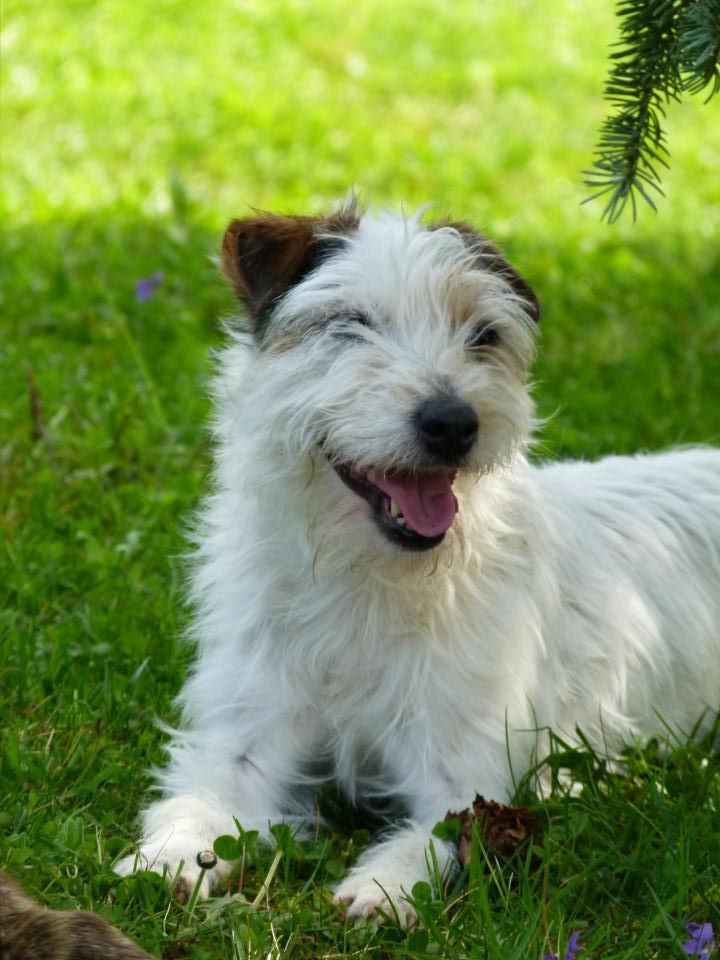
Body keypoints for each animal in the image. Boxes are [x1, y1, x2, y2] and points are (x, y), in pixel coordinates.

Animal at [116, 204, 720, 928]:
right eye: (351, 324)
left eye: (483, 335)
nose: (452, 422)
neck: (367, 575)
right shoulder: (244, 737)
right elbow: (203, 800)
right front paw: (169, 855)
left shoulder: (466, 771)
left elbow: (437, 830)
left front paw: (384, 884)